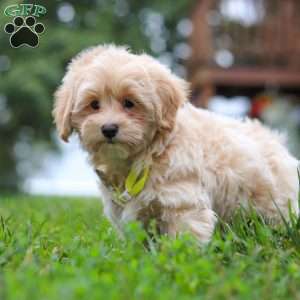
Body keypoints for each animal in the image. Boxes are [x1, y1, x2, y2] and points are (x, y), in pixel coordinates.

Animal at [52, 44, 298, 243]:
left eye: (129, 103)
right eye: (94, 105)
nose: (109, 129)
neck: (148, 155)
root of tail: (275, 140)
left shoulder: (183, 203)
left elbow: (183, 241)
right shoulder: (124, 212)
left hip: (276, 204)